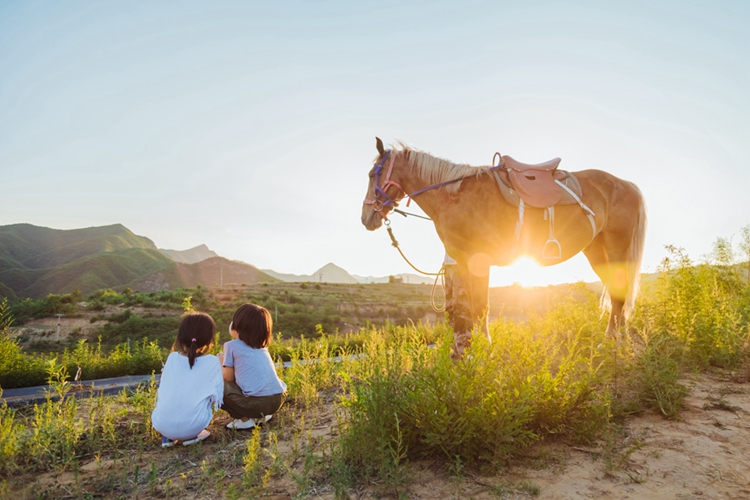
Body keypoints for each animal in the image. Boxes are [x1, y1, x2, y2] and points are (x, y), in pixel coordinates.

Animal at [362, 137, 648, 356]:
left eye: (371, 174)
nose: (366, 218)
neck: (455, 196)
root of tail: (628, 185)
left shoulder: (478, 260)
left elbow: (481, 307)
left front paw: (485, 348)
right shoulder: (464, 261)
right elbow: (472, 308)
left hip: (616, 248)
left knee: (619, 293)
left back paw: (612, 342)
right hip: (597, 251)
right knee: (617, 292)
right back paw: (617, 338)